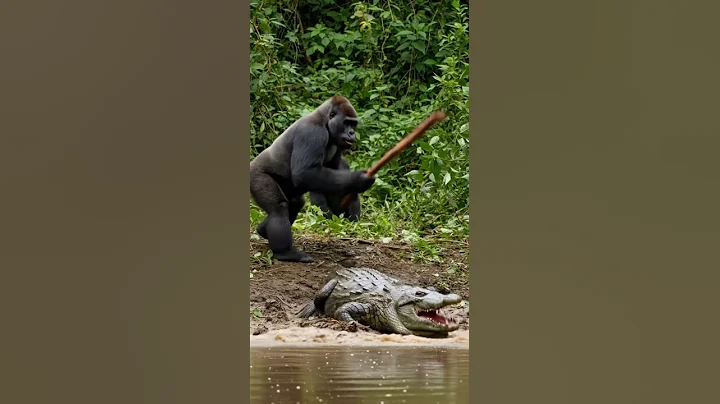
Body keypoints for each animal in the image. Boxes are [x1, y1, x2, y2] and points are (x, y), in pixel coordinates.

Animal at [250, 96, 375, 263]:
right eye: (346, 123)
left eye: (353, 124)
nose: (352, 132)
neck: (324, 121)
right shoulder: (311, 133)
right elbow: (305, 174)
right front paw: (358, 179)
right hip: (255, 175)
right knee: (279, 207)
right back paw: (285, 253)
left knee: (295, 202)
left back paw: (263, 230)